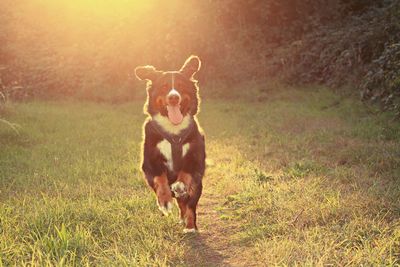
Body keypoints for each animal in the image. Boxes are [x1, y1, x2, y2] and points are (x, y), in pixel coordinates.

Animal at [136, 56, 206, 234]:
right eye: (164, 87)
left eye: (181, 86)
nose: (173, 97)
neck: (174, 132)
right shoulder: (150, 163)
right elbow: (160, 180)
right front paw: (165, 201)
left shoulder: (195, 160)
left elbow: (185, 173)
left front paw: (180, 185)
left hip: (197, 186)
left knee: (189, 205)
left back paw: (189, 226)